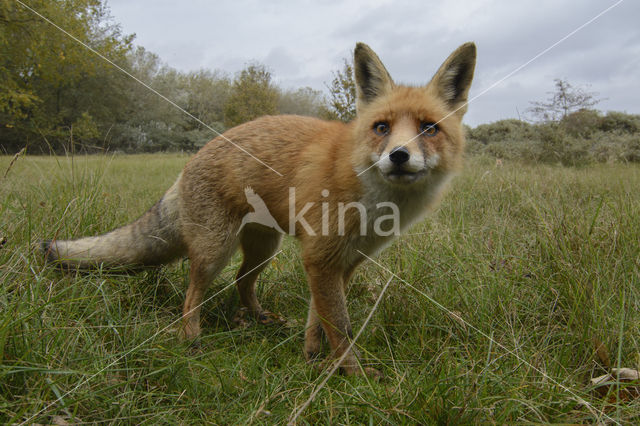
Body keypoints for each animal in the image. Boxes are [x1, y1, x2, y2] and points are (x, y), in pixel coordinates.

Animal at [41, 42, 476, 376]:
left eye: (429, 128)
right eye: (382, 128)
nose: (399, 156)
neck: (375, 201)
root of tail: (188, 162)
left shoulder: (344, 263)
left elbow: (319, 320)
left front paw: (311, 357)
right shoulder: (320, 258)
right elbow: (340, 328)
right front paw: (352, 374)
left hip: (264, 249)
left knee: (241, 282)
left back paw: (257, 316)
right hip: (215, 251)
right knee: (192, 296)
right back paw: (192, 341)